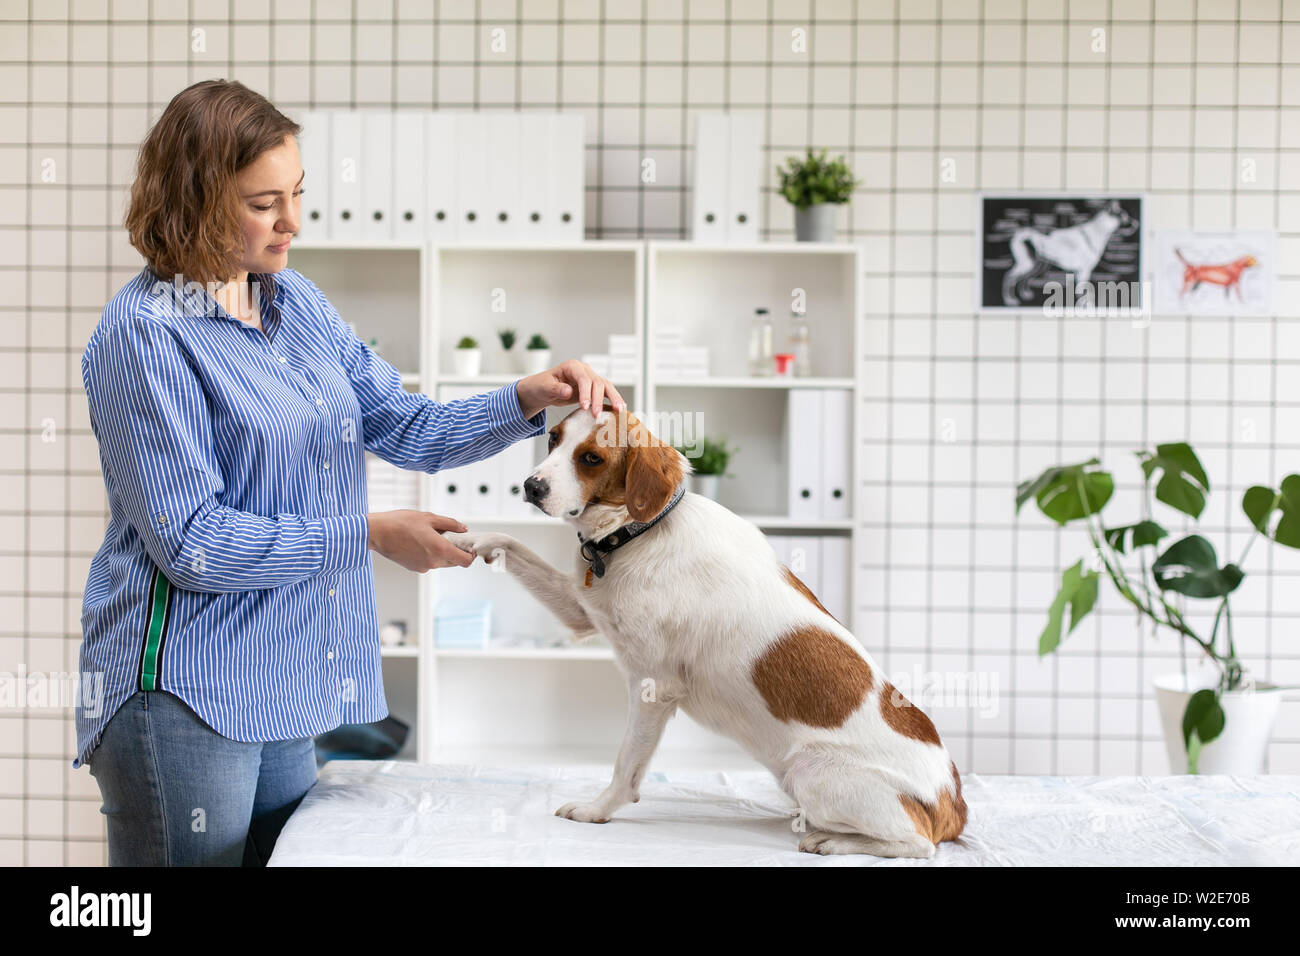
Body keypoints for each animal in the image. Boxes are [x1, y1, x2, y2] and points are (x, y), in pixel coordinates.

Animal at [447, 403, 967, 858]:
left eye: (591, 458)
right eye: (552, 440)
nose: (530, 486)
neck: (640, 532)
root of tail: (953, 800)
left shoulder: (653, 688)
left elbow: (625, 766)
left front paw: (598, 810)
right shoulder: (581, 609)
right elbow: (512, 544)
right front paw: (465, 539)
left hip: (813, 772)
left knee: (918, 844)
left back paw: (833, 841)